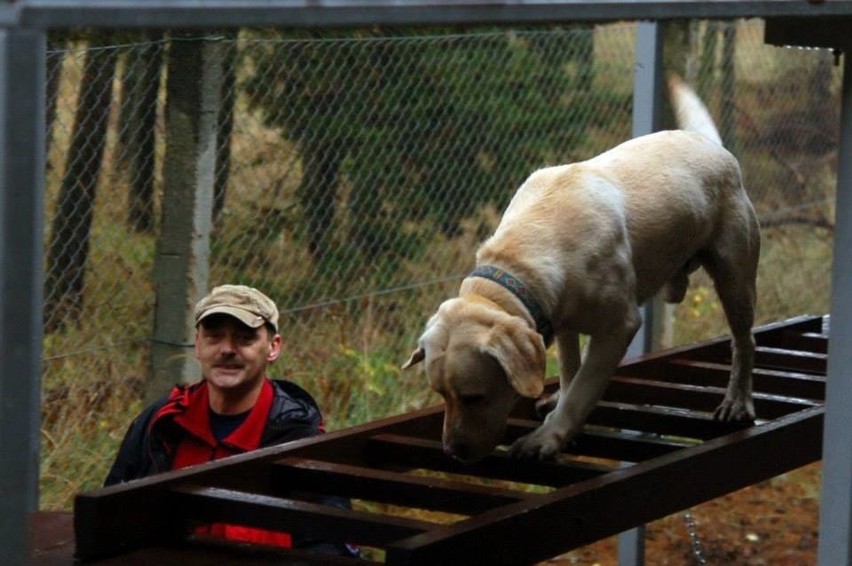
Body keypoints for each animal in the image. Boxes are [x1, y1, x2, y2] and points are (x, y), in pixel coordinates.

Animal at [402, 77, 764, 464]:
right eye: (440, 394)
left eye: (474, 396)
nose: (452, 452)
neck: (518, 258)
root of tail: (708, 144)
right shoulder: (559, 318)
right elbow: (570, 371)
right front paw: (559, 402)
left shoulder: (619, 327)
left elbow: (583, 390)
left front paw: (548, 438)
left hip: (735, 278)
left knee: (744, 340)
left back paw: (737, 401)